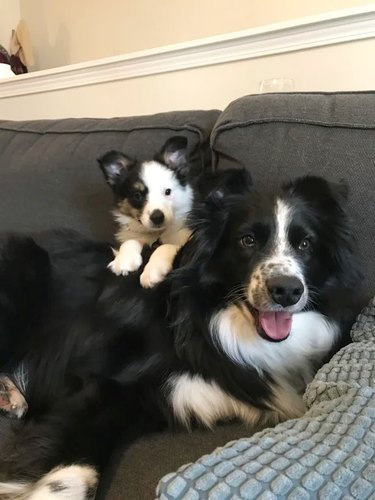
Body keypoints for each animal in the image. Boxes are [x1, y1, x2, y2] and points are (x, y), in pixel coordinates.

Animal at [0, 174, 362, 498]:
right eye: (247, 240)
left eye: (305, 244)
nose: (287, 290)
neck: (214, 320)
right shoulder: (105, 383)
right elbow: (72, 471)